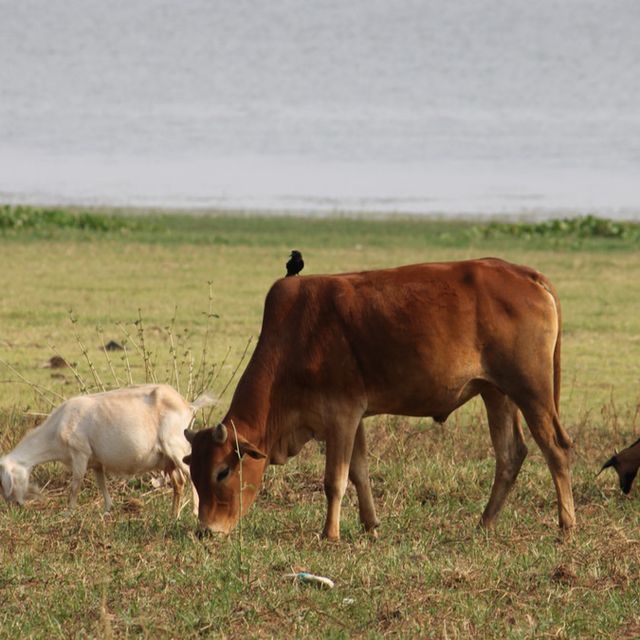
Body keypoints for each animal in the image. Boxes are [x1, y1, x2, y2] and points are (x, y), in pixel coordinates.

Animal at [0, 384, 215, 516]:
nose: (15, 506)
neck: (55, 430)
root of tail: (188, 406)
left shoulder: (80, 453)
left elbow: (75, 484)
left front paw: (69, 512)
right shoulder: (96, 461)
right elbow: (101, 482)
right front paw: (107, 509)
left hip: (176, 447)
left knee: (192, 475)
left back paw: (195, 511)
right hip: (167, 458)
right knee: (179, 482)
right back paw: (173, 515)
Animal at [184, 258, 576, 540]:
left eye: (222, 472)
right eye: (193, 470)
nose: (207, 531)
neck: (295, 336)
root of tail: (524, 273)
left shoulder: (341, 415)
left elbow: (335, 480)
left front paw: (330, 534)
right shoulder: (353, 417)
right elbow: (359, 472)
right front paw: (371, 525)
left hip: (531, 389)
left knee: (555, 449)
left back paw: (566, 525)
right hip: (497, 392)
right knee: (510, 454)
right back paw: (485, 523)